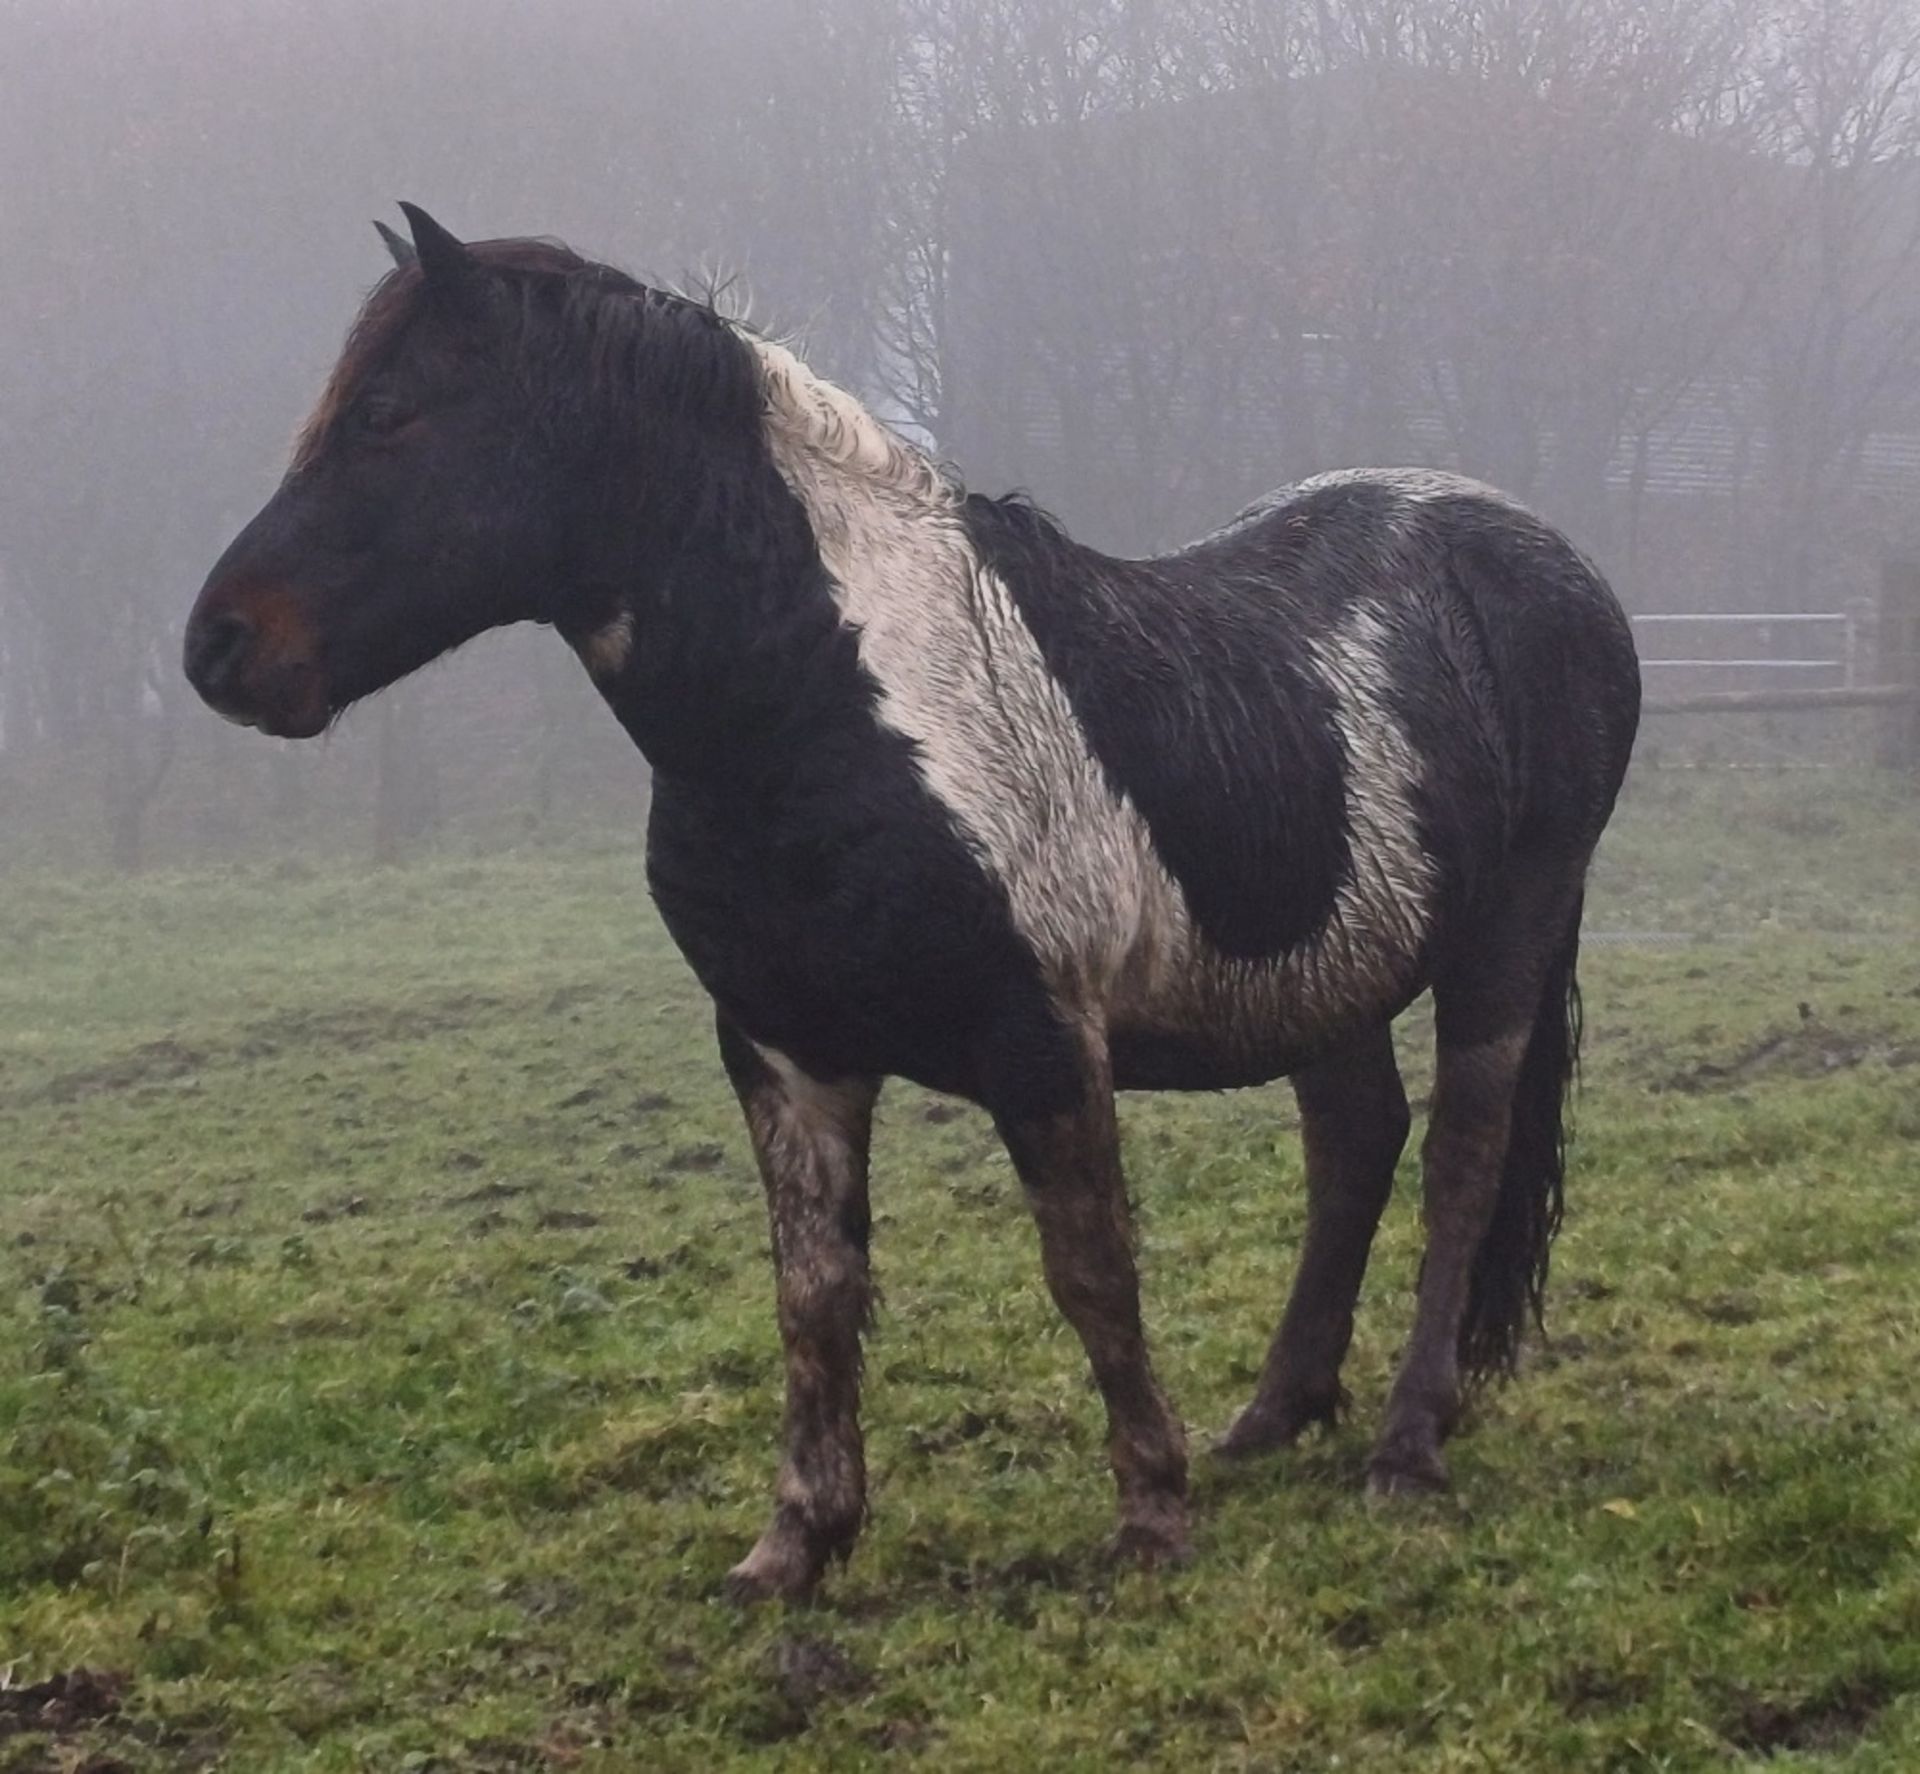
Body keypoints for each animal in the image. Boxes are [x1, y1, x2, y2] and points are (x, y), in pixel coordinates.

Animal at [187, 200, 1643, 1597]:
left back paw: (1406, 1445)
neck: (830, 700)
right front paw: (797, 1542)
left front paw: (1150, 1519)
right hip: (1318, 965)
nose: (218, 647)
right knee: (1354, 1142)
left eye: (390, 412)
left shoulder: (1041, 1040)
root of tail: (1553, 564)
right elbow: (816, 1293)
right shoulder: (784, 1052)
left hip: (1504, 934)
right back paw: (1275, 1415)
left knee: (1459, 1160)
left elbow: (1091, 1271)